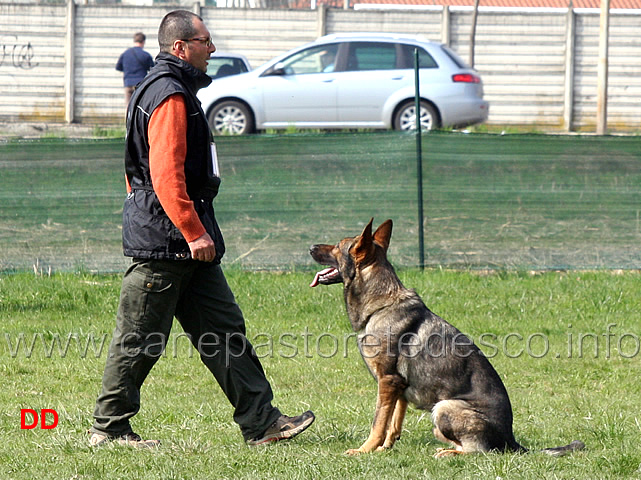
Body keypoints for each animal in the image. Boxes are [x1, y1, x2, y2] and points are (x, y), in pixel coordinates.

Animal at [308, 219, 584, 456]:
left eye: (337, 246)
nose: (310, 246)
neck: (381, 304)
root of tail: (512, 441)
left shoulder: (387, 382)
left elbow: (378, 423)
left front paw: (364, 450)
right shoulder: (398, 387)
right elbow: (394, 422)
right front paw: (385, 448)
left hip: (443, 407)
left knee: (478, 451)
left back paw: (450, 452)